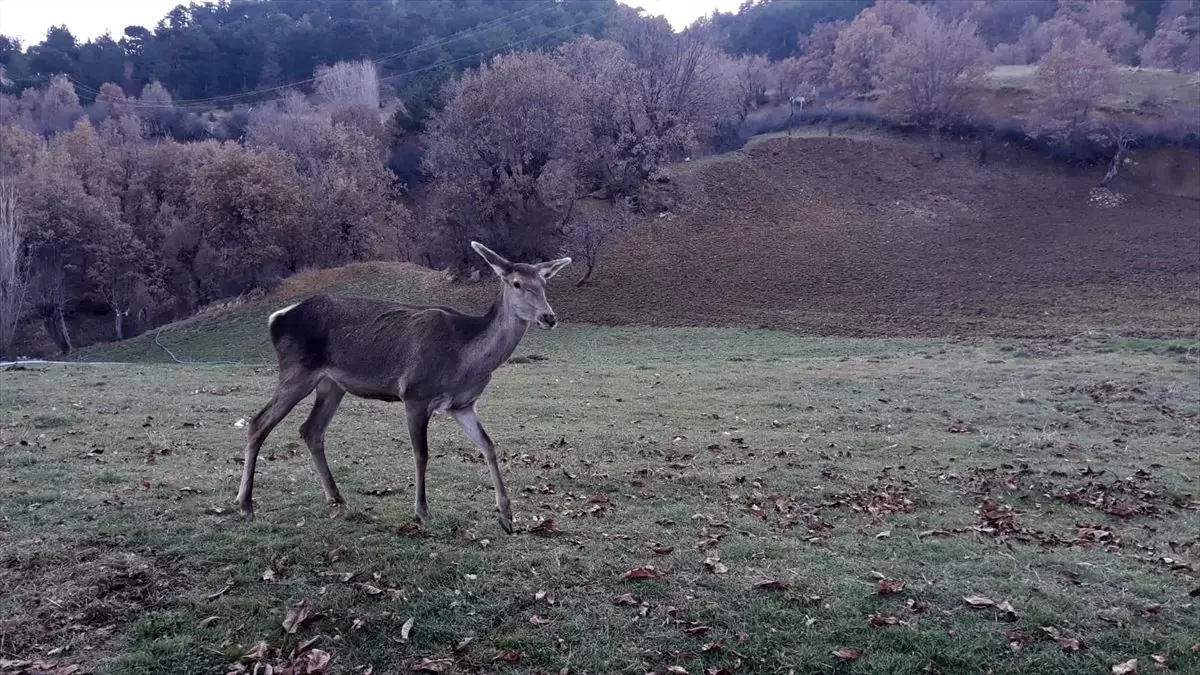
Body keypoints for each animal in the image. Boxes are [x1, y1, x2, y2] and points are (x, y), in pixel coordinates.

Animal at [236, 241, 573, 530]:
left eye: (544, 284)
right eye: (516, 283)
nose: (549, 317)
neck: (464, 358)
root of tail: (277, 317)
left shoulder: (462, 404)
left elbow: (488, 446)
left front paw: (506, 514)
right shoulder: (415, 394)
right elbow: (421, 453)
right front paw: (422, 511)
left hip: (332, 384)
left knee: (311, 430)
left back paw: (337, 499)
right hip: (297, 371)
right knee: (258, 422)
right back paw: (246, 504)